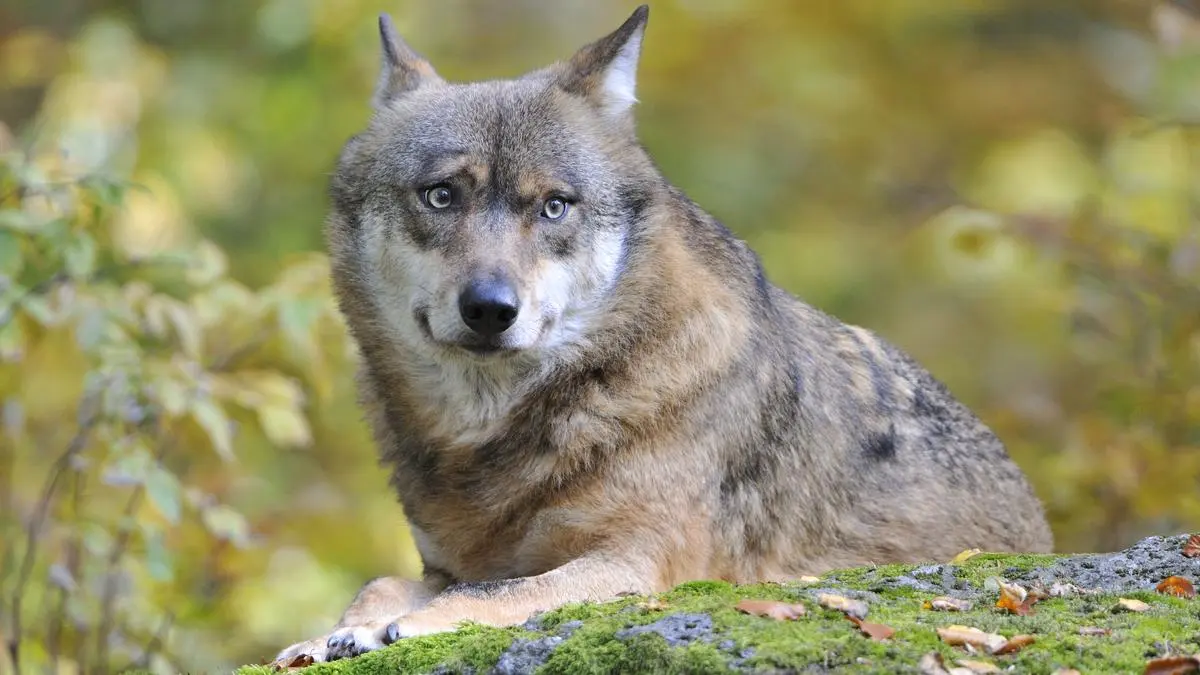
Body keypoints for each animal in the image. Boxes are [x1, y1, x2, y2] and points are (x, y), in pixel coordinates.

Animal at [274, 5, 1053, 663]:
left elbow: (495, 587)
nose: (491, 308)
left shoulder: (637, 560)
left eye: (554, 206)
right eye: (441, 196)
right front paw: (336, 631)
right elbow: (380, 582)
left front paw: (404, 624)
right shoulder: (440, 559)